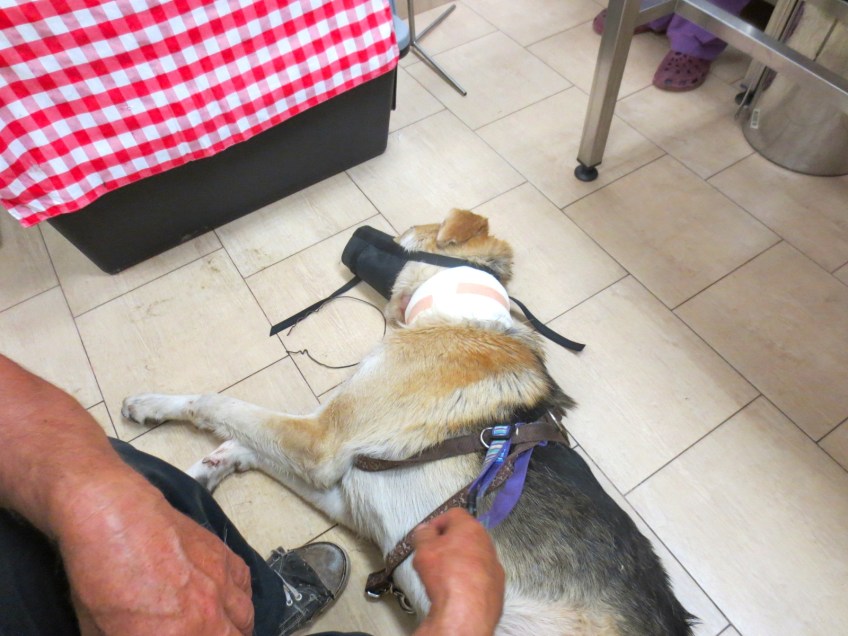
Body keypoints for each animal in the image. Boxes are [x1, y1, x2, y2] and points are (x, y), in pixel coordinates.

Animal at [122, 209, 696, 635]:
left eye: (404, 232)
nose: (359, 232)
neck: (457, 313)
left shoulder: (319, 443)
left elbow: (218, 403)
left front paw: (151, 405)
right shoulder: (345, 485)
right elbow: (249, 442)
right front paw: (212, 467)